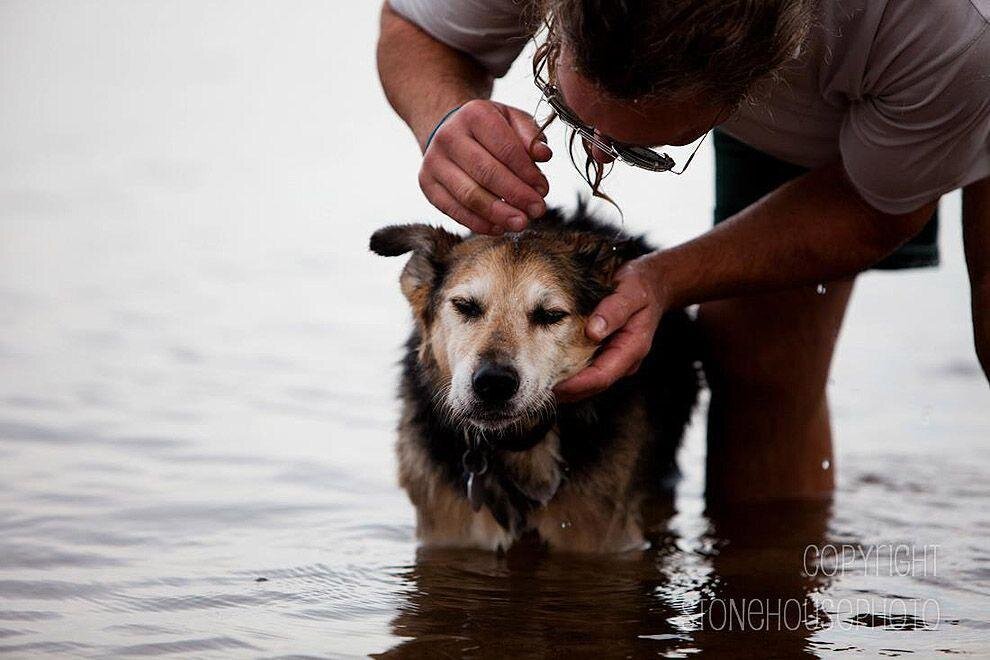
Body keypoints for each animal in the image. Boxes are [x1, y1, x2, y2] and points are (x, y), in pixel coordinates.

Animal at [372, 205, 704, 552]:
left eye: (551, 315)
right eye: (465, 306)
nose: (494, 383)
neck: (517, 447)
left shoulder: (601, 536)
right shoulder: (448, 533)